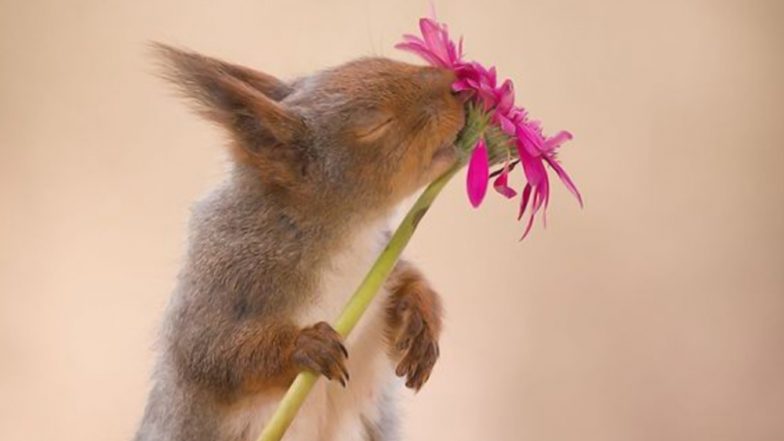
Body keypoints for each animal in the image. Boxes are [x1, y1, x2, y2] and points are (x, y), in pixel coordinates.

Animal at [136, 43, 466, 440]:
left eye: (380, 61)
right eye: (375, 125)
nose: (458, 85)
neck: (344, 233)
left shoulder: (380, 261)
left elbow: (407, 278)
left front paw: (420, 319)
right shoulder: (222, 277)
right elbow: (212, 351)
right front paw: (304, 346)